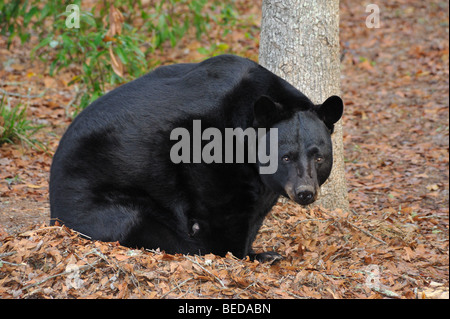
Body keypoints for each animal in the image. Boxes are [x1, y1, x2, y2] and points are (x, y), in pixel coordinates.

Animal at [49, 54, 342, 262]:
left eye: (318, 157)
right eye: (286, 157)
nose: (305, 192)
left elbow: (258, 208)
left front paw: (259, 250)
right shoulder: (207, 147)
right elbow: (222, 205)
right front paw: (240, 253)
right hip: (102, 203)